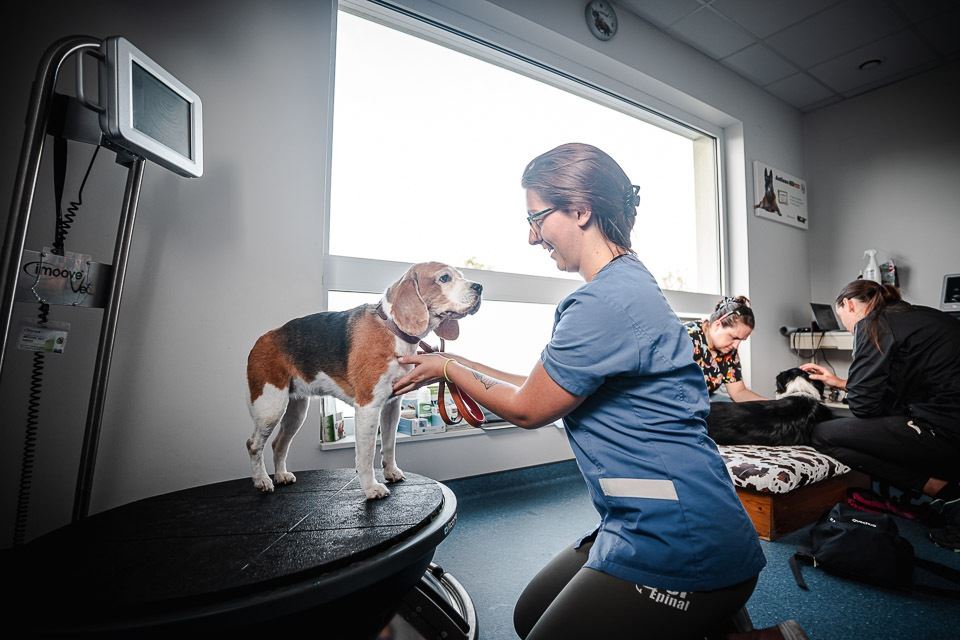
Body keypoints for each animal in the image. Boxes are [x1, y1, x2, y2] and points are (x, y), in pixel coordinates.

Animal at [246, 262, 480, 500]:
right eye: (444, 278)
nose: (479, 287)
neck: (393, 330)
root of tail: (262, 339)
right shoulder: (368, 406)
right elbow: (366, 455)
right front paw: (371, 488)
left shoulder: (392, 405)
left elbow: (389, 444)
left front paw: (391, 471)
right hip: (270, 407)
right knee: (254, 445)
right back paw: (262, 480)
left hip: (296, 411)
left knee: (278, 444)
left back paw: (281, 475)